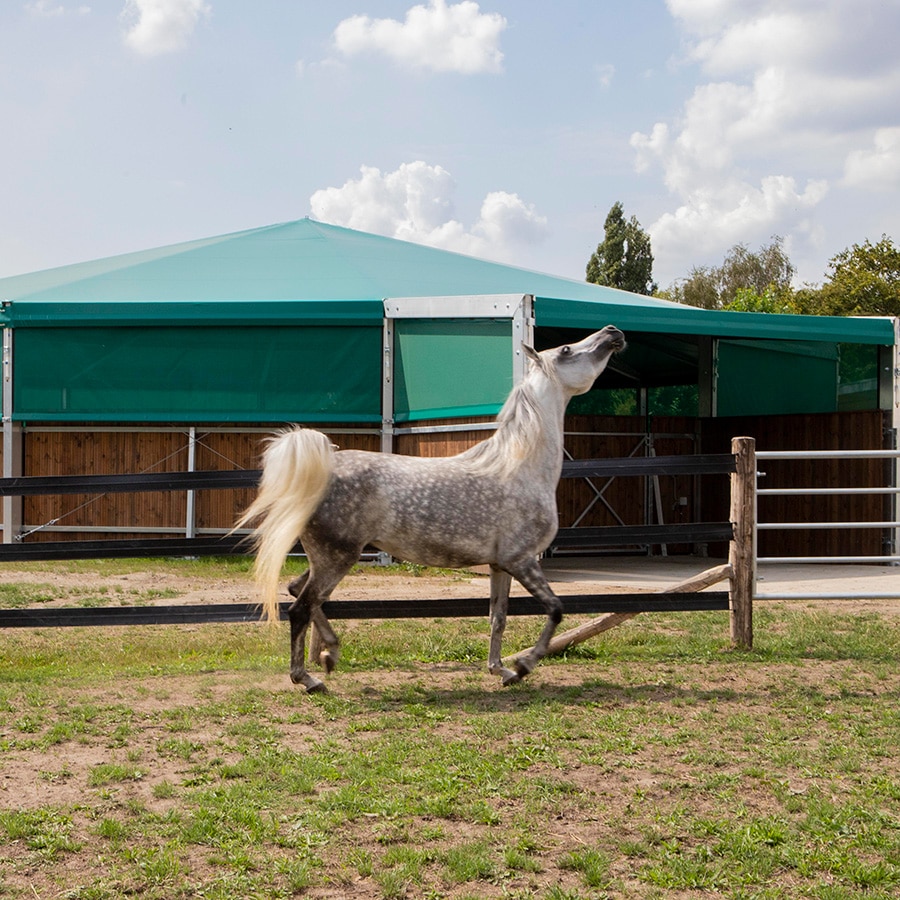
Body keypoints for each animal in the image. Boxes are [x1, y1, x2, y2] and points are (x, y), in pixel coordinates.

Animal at [237, 326, 624, 692]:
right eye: (566, 350)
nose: (613, 333)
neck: (519, 467)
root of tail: (321, 471)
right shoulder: (522, 560)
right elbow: (556, 610)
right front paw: (523, 666)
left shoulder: (500, 565)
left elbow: (498, 617)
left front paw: (500, 670)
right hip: (336, 558)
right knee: (300, 608)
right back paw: (308, 678)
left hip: (327, 559)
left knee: (297, 591)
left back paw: (330, 653)